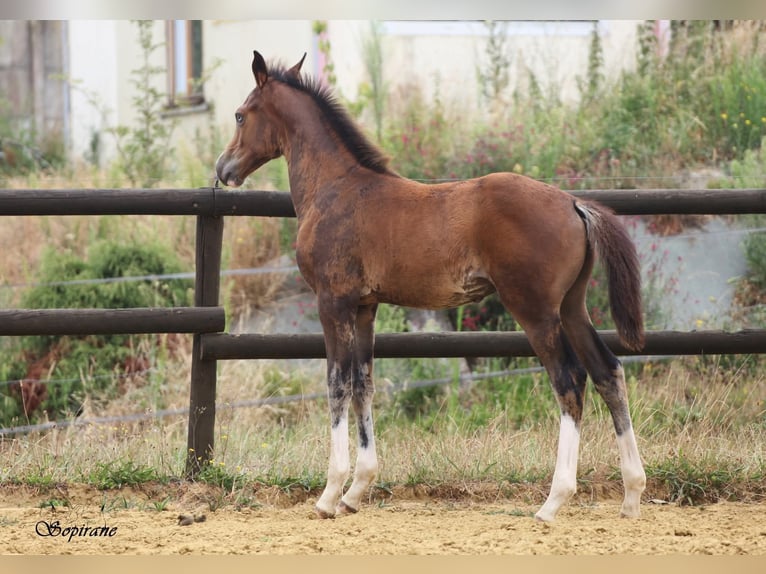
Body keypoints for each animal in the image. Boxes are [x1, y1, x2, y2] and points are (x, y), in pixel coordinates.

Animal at [216, 50, 647, 522]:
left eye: (240, 114)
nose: (223, 169)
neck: (336, 189)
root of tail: (574, 203)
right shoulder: (366, 306)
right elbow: (364, 382)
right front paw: (356, 491)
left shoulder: (333, 301)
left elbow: (337, 383)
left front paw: (329, 495)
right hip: (571, 307)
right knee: (608, 371)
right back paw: (631, 494)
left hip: (535, 310)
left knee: (569, 380)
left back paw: (554, 500)